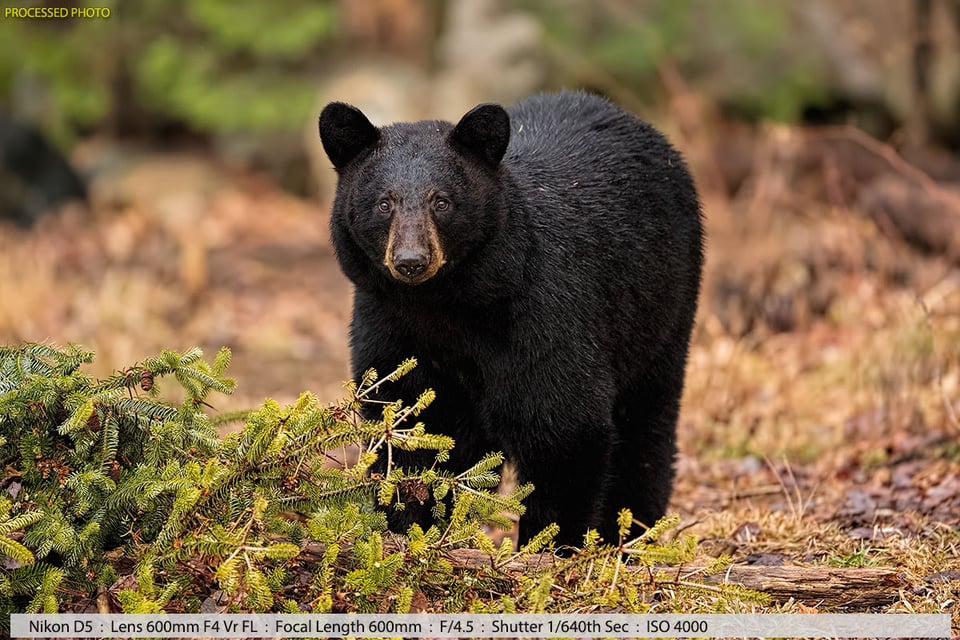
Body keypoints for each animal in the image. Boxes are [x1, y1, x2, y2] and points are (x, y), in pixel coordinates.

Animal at [318, 90, 700, 548]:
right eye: (384, 203)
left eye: (441, 202)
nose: (411, 261)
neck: (444, 305)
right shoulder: (390, 323)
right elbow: (413, 422)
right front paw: (410, 530)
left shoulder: (544, 313)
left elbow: (565, 428)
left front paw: (549, 547)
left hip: (663, 306)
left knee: (646, 423)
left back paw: (629, 533)